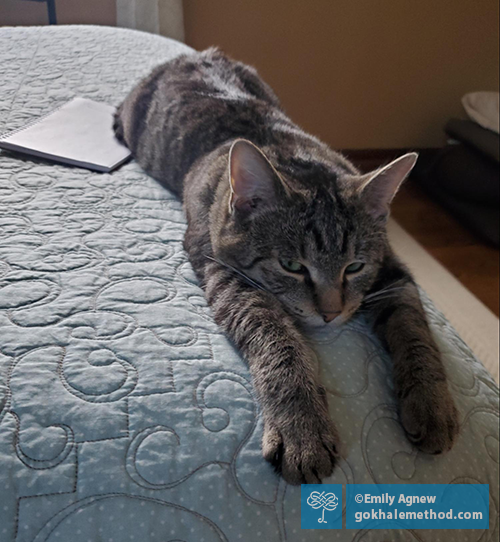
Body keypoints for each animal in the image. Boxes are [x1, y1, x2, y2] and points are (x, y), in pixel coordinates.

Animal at [115, 49, 458, 486]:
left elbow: (415, 330)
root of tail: (192, 54)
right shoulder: (224, 270)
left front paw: (433, 404)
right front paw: (302, 428)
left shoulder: (391, 271)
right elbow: (279, 342)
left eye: (354, 266)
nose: (331, 314)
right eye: (292, 265)